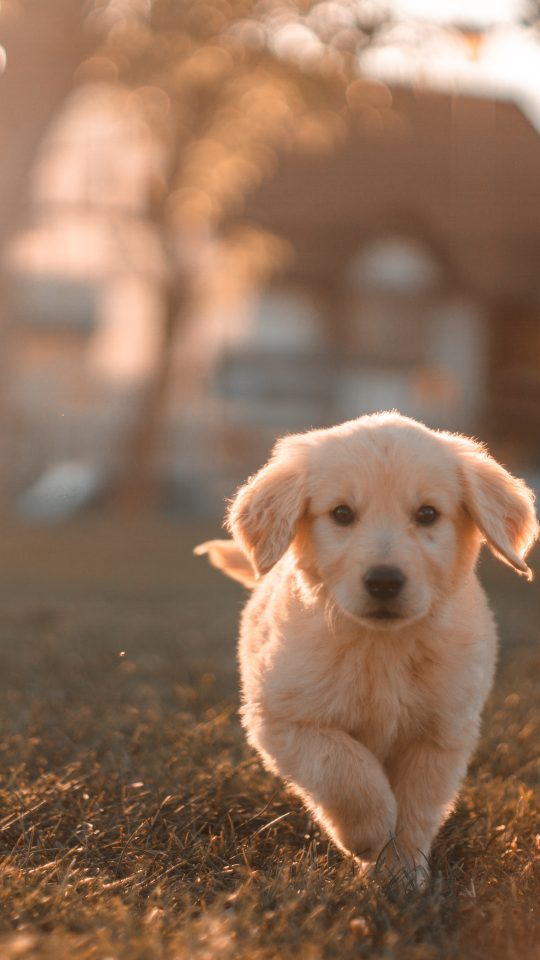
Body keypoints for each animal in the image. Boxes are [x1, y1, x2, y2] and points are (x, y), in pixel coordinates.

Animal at [196, 412, 536, 884]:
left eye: (428, 514)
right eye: (342, 514)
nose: (384, 581)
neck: (382, 646)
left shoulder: (442, 733)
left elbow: (416, 807)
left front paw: (402, 873)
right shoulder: (284, 718)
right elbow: (344, 769)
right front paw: (371, 833)